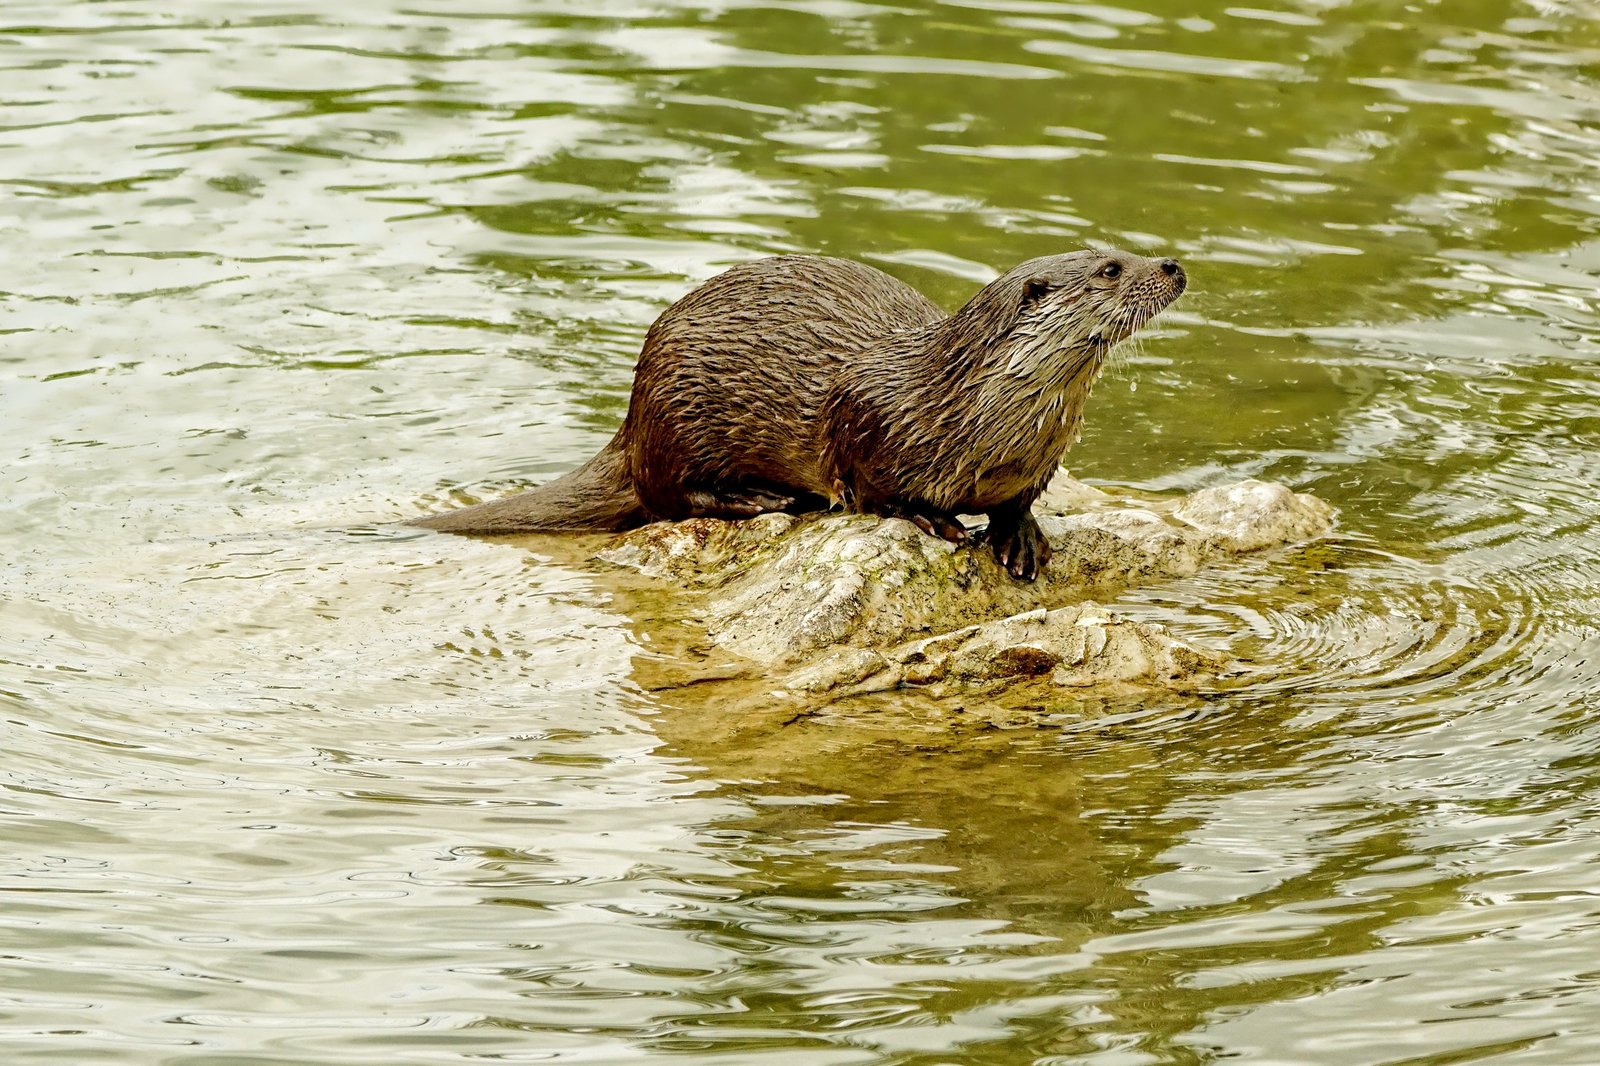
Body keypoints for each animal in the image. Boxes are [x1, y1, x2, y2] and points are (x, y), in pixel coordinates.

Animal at [412, 246, 1190, 582]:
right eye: (1113, 268)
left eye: (1127, 247)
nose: (1174, 265)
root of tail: (631, 418)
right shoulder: (867, 419)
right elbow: (874, 490)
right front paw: (932, 519)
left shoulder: (1037, 463)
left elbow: (1018, 504)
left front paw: (1018, 536)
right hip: (679, 412)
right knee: (672, 497)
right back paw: (768, 498)